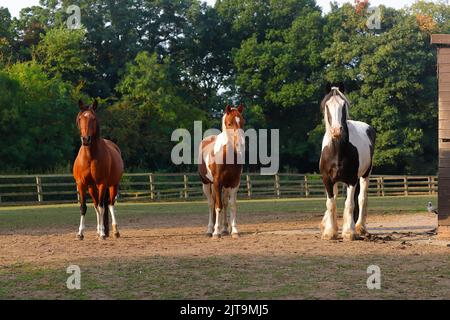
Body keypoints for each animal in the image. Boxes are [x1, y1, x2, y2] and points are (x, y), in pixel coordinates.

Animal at [73, 100, 124, 240]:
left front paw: (102, 233)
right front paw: (80, 233)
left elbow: (102, 208)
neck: (90, 156)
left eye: (93, 118)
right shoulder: (81, 184)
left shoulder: (102, 184)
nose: (86, 139)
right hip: (92, 187)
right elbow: (83, 207)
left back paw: (114, 231)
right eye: (80, 118)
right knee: (96, 205)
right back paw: (98, 230)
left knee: (110, 204)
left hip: (113, 185)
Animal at [198, 104, 244, 239]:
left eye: (242, 122)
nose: (240, 144)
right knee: (211, 204)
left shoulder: (234, 183)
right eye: (229, 123)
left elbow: (232, 206)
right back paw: (210, 230)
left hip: (225, 186)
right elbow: (217, 206)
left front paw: (234, 231)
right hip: (207, 184)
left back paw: (224, 229)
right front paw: (216, 232)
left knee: (224, 203)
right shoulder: (217, 182)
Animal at [320, 86, 376, 241]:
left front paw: (349, 232)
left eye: (343, 105)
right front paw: (330, 231)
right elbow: (330, 203)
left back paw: (360, 227)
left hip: (365, 175)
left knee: (362, 198)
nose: (336, 130)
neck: (337, 151)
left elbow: (350, 203)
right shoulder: (327, 180)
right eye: (327, 106)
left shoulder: (351, 179)